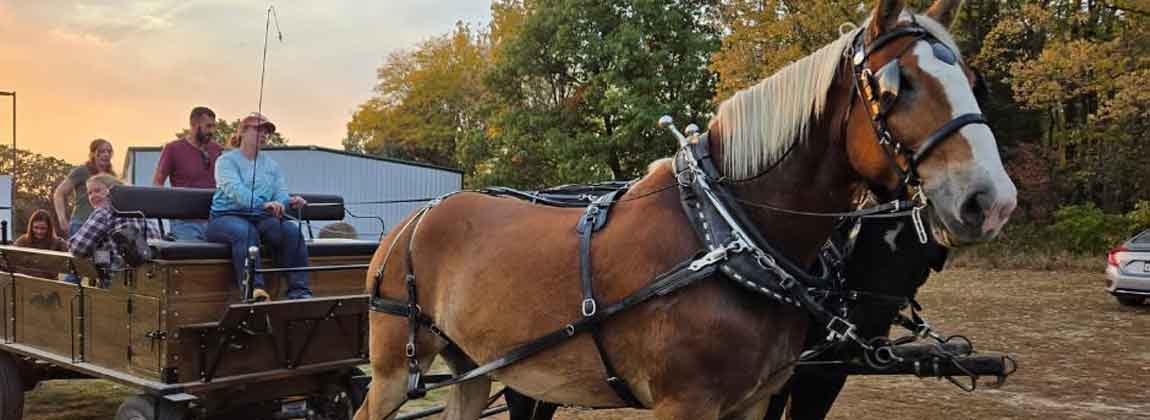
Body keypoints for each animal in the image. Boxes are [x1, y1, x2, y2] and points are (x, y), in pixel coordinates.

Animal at [356, 0, 1017, 418]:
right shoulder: (686, 404)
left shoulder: (755, 400)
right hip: (395, 368)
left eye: (975, 80)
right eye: (895, 84)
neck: (730, 235)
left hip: (475, 364)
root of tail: (413, 218)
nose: (992, 201)